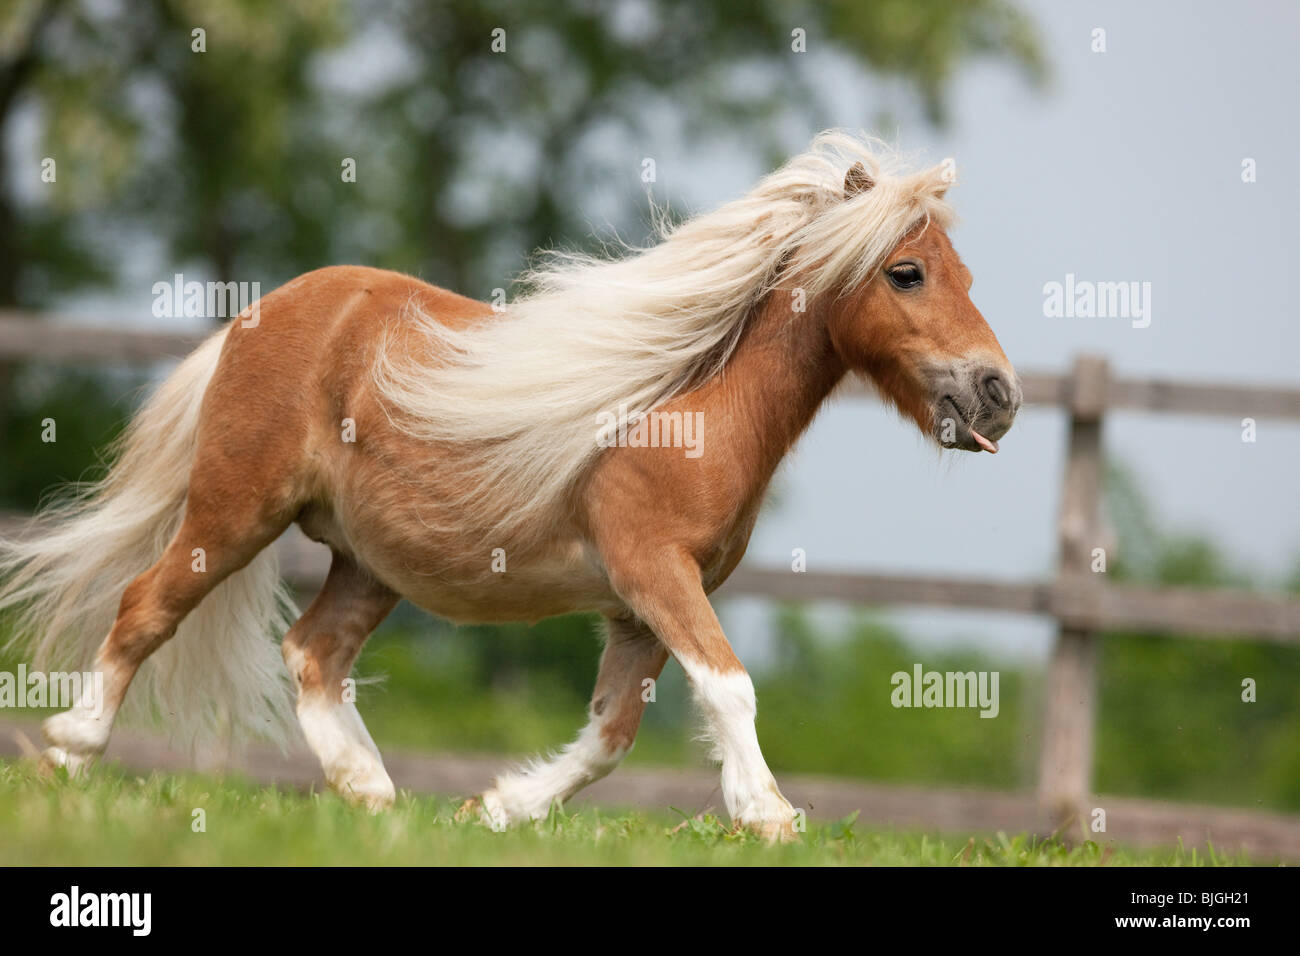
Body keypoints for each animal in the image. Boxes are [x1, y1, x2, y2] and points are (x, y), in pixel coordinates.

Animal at [0, 131, 1020, 841]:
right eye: (906, 271)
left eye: (966, 273)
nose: (998, 394)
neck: (689, 405)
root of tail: (259, 315)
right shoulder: (656, 572)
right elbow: (729, 689)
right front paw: (770, 816)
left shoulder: (636, 610)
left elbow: (610, 736)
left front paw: (493, 809)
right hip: (234, 508)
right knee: (145, 607)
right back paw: (71, 752)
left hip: (369, 562)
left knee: (312, 654)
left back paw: (378, 799)